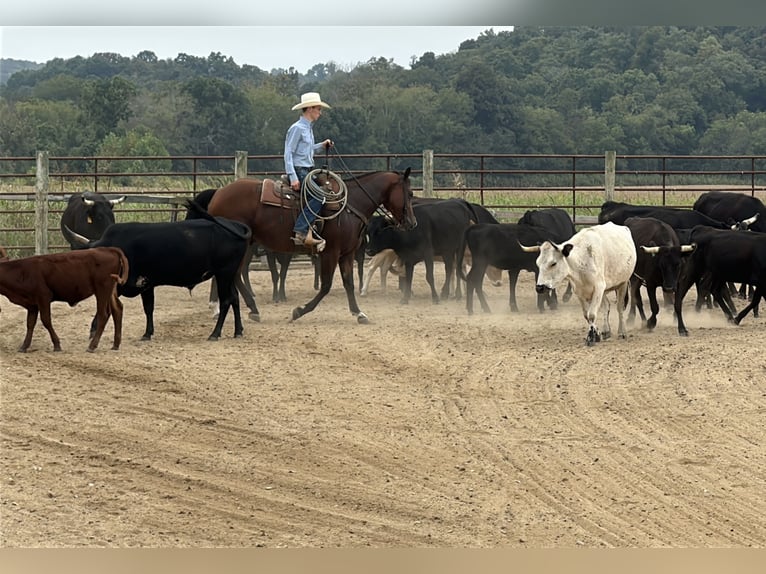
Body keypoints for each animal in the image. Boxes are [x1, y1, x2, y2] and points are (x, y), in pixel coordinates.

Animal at [206, 168, 416, 323]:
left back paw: (243, 308)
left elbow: (348, 283)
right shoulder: (330, 253)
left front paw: (359, 313)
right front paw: (299, 311)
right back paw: (242, 308)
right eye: (410, 193)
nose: (412, 223)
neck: (350, 206)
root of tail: (218, 194)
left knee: (233, 275)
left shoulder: (346, 254)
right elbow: (326, 286)